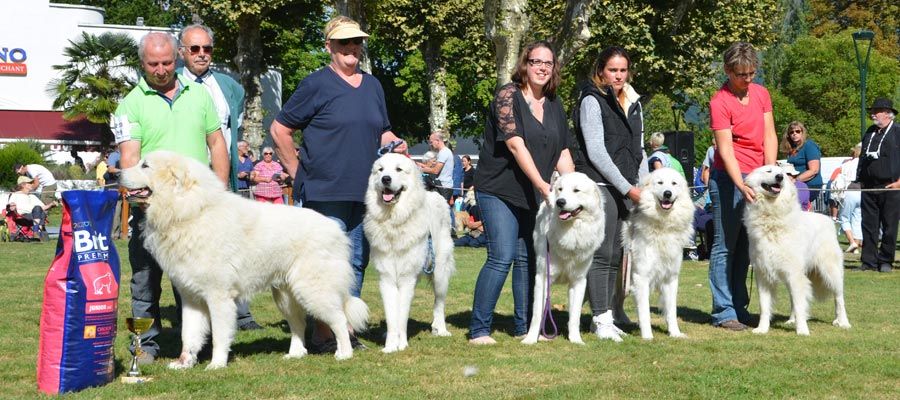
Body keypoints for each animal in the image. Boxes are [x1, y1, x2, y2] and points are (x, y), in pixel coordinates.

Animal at [120, 151, 370, 368]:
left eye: (145, 165)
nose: (117, 174)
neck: (188, 211)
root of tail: (336, 229)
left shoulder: (218, 296)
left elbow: (219, 334)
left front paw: (216, 364)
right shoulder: (191, 297)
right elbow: (189, 334)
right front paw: (184, 363)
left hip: (314, 290)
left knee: (339, 320)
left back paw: (344, 353)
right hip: (285, 296)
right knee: (298, 324)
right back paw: (295, 354)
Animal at [364, 153, 458, 354]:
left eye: (398, 169)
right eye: (380, 170)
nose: (385, 179)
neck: (394, 221)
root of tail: (434, 194)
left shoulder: (407, 278)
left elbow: (401, 316)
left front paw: (401, 344)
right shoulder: (386, 279)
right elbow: (392, 316)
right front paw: (390, 346)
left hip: (440, 272)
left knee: (439, 303)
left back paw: (441, 329)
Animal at [520, 171, 604, 344]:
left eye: (576, 190)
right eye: (560, 189)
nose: (560, 202)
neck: (571, 230)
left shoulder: (579, 281)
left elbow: (575, 316)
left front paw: (576, 340)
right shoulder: (542, 278)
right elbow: (537, 314)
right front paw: (530, 339)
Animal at [624, 167, 696, 340]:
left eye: (674, 183)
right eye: (660, 183)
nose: (667, 194)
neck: (663, 225)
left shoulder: (671, 278)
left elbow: (671, 310)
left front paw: (675, 333)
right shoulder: (641, 277)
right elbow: (644, 312)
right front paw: (647, 336)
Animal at [744, 164, 852, 336]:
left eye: (781, 173)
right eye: (768, 171)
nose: (780, 177)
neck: (771, 216)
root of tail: (828, 219)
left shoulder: (794, 274)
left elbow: (801, 305)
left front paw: (802, 330)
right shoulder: (763, 274)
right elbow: (765, 306)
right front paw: (762, 329)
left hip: (831, 271)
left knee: (839, 298)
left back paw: (843, 322)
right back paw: (791, 320)